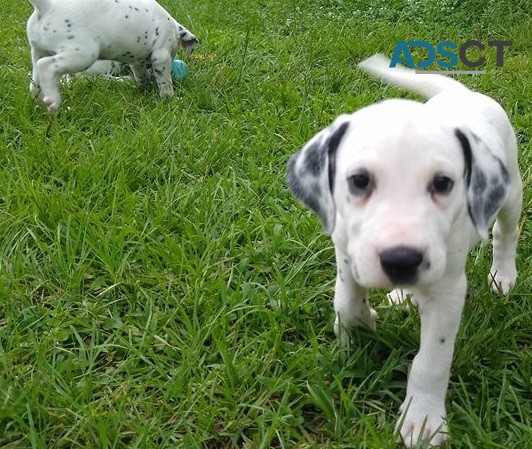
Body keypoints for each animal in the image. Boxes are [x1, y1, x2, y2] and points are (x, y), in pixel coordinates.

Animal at [26, 0, 198, 111]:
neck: (171, 26)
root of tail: (48, 7)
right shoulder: (161, 55)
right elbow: (165, 82)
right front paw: (169, 99)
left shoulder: (137, 61)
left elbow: (141, 75)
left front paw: (144, 87)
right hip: (83, 54)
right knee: (46, 66)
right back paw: (53, 101)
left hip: (38, 52)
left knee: (35, 81)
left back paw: (39, 103)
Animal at [286, 54, 524, 446]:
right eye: (359, 181)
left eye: (443, 183)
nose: (401, 260)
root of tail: (464, 92)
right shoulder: (346, 254)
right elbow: (345, 303)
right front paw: (360, 323)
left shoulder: (447, 291)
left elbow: (432, 360)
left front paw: (423, 419)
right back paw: (402, 295)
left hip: (511, 193)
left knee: (506, 232)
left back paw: (502, 275)